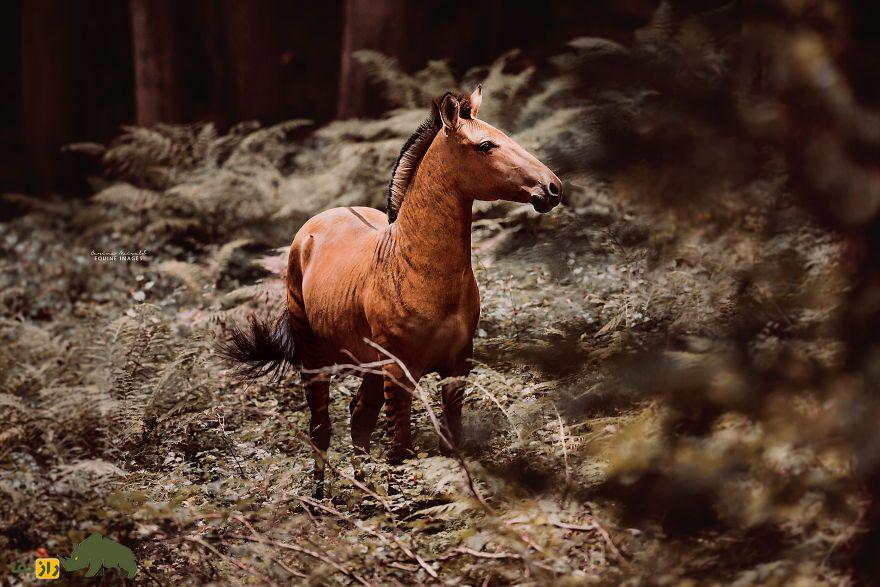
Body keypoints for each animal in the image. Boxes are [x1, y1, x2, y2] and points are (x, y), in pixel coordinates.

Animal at [223, 87, 560, 498]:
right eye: (486, 145)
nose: (552, 188)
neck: (421, 269)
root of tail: (316, 224)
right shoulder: (400, 373)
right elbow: (400, 451)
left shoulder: (457, 366)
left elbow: (453, 440)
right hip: (315, 359)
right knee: (321, 429)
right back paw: (320, 501)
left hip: (370, 364)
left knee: (358, 418)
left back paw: (364, 493)